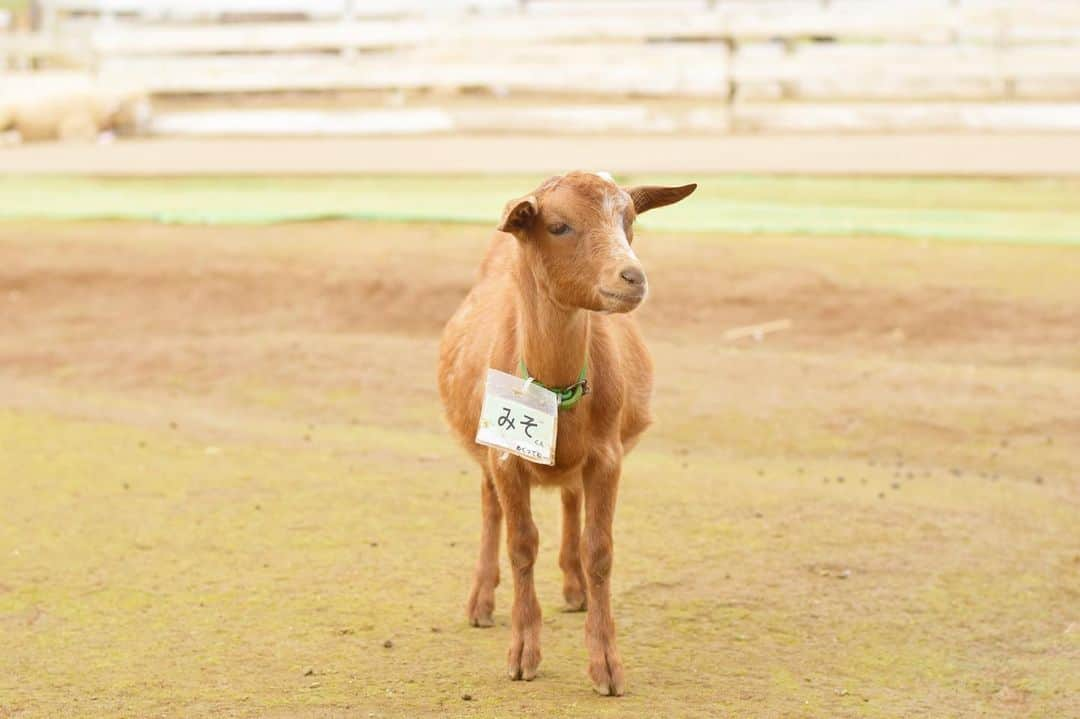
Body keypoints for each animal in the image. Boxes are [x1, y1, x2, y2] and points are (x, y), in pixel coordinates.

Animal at [436, 170, 695, 690]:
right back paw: (481, 603)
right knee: (489, 507)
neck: (553, 386)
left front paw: (606, 665)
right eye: (558, 226)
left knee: (571, 500)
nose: (632, 277)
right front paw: (522, 655)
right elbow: (520, 544)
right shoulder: (505, 456)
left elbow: (600, 551)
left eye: (629, 221)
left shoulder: (607, 457)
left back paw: (576, 589)